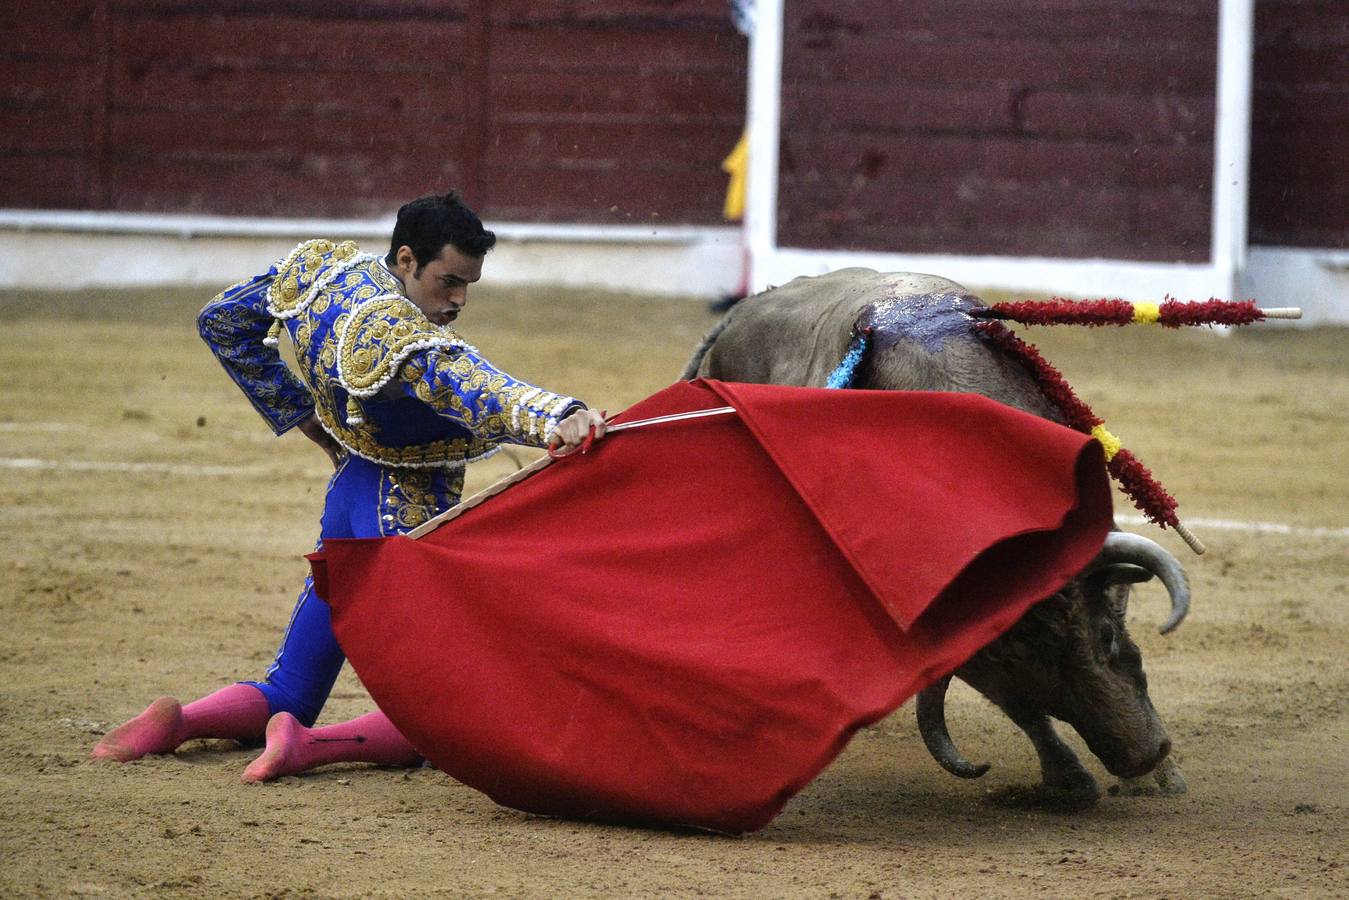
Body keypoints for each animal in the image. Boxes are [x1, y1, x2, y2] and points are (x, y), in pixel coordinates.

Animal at [685, 267, 1192, 809]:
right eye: (1026, 677)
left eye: (1106, 635)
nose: (1140, 756)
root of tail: (740, 312)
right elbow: (1023, 712)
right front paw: (1071, 780)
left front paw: (1157, 779)